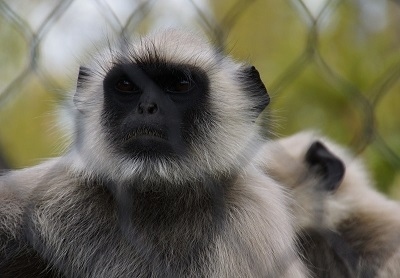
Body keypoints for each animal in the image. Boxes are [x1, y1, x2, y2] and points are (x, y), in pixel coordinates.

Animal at [0, 29, 306, 276]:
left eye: (180, 85)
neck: (157, 198)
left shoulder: (254, 218)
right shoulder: (49, 190)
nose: (148, 107)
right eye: (127, 85)